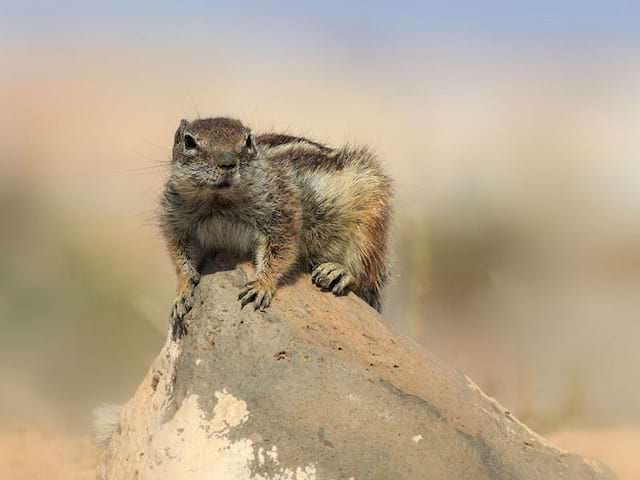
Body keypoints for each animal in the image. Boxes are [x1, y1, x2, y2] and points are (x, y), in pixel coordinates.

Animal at [159, 118, 390, 340]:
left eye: (248, 140)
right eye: (189, 141)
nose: (227, 163)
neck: (219, 200)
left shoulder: (282, 215)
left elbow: (280, 253)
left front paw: (261, 285)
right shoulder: (178, 225)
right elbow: (182, 261)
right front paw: (182, 294)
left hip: (370, 219)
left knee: (366, 272)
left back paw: (339, 271)